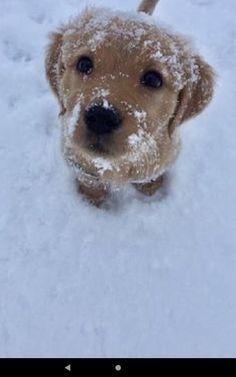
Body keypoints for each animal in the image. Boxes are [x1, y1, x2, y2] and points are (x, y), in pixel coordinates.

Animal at [45, 0, 215, 206]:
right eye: (84, 64)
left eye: (153, 79)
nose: (101, 117)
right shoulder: (77, 161)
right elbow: (91, 182)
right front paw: (92, 200)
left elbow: (151, 175)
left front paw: (151, 188)